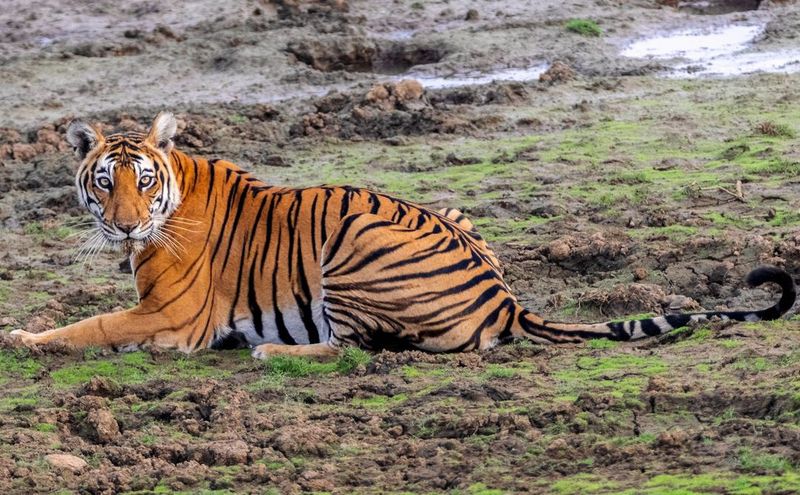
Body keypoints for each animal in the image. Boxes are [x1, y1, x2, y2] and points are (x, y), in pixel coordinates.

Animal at [7, 114, 800, 358]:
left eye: (143, 181)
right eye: (105, 182)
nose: (124, 224)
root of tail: (507, 297)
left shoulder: (171, 318)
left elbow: (91, 324)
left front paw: (21, 338)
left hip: (354, 242)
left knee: (362, 347)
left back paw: (270, 349)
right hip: (452, 214)